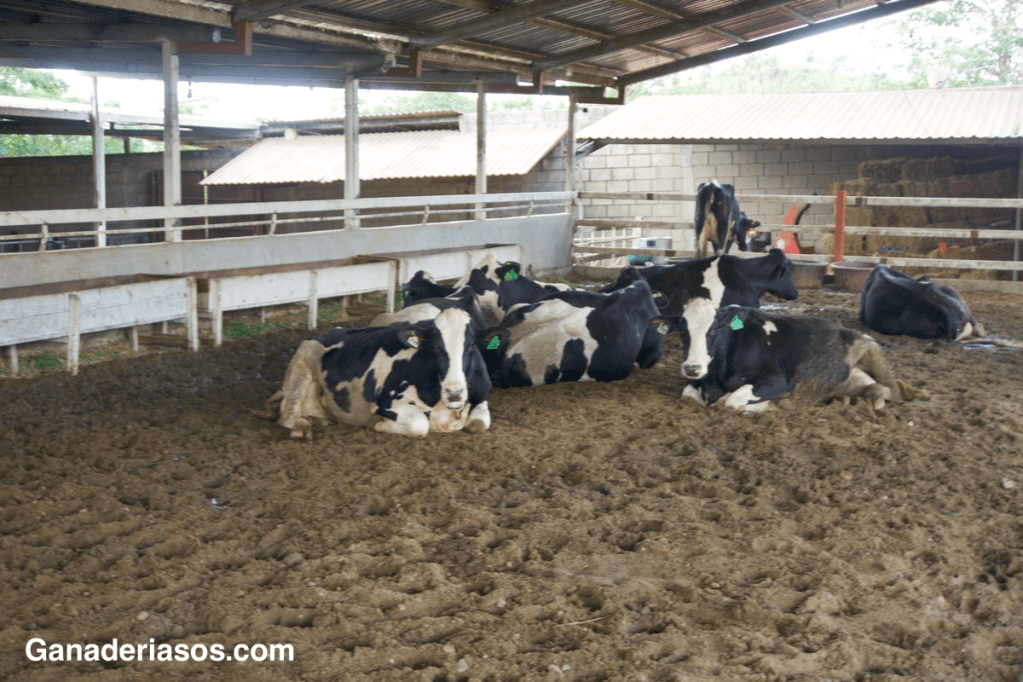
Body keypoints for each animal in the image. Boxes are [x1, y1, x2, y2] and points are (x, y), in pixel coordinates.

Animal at [267, 308, 500, 438]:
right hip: (300, 369)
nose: (454, 393)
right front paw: (379, 425)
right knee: (288, 416)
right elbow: (419, 425)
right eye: (435, 346)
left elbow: (479, 424)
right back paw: (302, 428)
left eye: (471, 345)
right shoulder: (385, 402)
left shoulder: (481, 397)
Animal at [665, 305, 929, 411]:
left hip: (873, 353)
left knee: (892, 391)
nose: (692, 368)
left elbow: (731, 400)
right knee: (874, 388)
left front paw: (769, 406)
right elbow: (687, 395)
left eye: (713, 330)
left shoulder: (777, 382)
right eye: (683, 330)